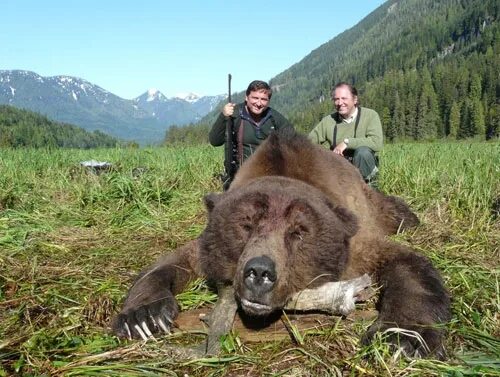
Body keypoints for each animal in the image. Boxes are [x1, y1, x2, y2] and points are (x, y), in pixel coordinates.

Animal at [113, 129, 450, 358]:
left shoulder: (355, 245)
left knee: (396, 212)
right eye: (246, 224)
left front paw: (403, 337)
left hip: (374, 203)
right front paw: (143, 317)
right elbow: (168, 263)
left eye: (298, 232)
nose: (260, 272)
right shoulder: (205, 247)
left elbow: (407, 263)